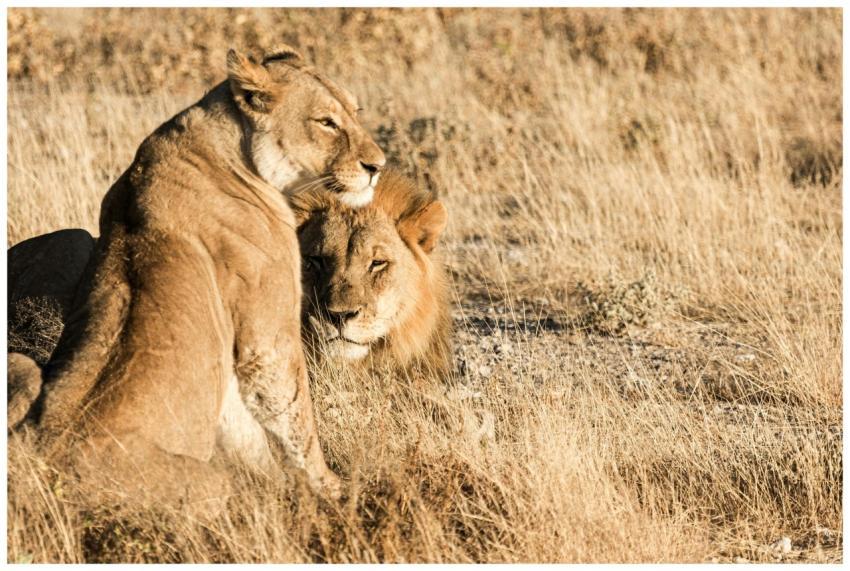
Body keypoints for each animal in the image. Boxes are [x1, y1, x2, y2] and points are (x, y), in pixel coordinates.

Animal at [25, 45, 385, 503]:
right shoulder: (266, 333)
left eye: (355, 112)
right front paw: (331, 489)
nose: (377, 165)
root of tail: (43, 468)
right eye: (326, 122)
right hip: (212, 482)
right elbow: (292, 412)